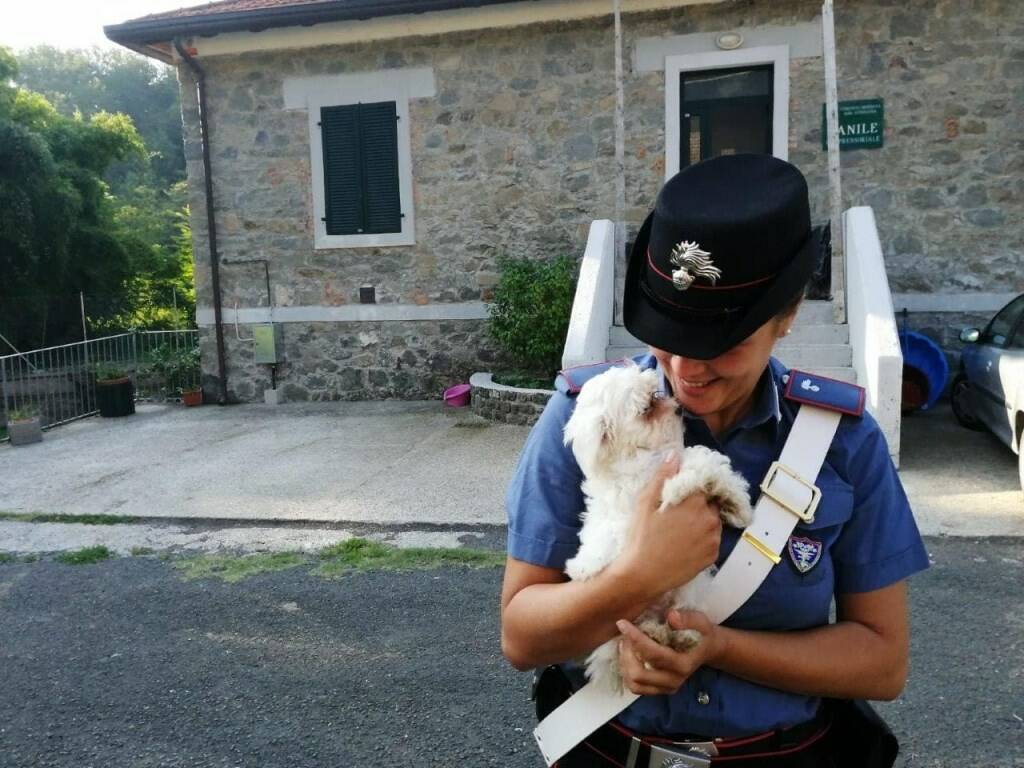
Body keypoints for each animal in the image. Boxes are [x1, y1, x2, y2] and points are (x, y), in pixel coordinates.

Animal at [561, 364, 753, 696]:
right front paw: (684, 488)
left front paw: (735, 504)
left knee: (680, 618)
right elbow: (691, 474)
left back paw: (682, 637)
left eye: (656, 393)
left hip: (687, 594)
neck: (643, 454)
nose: (678, 409)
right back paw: (655, 635)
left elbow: (708, 465)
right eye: (646, 409)